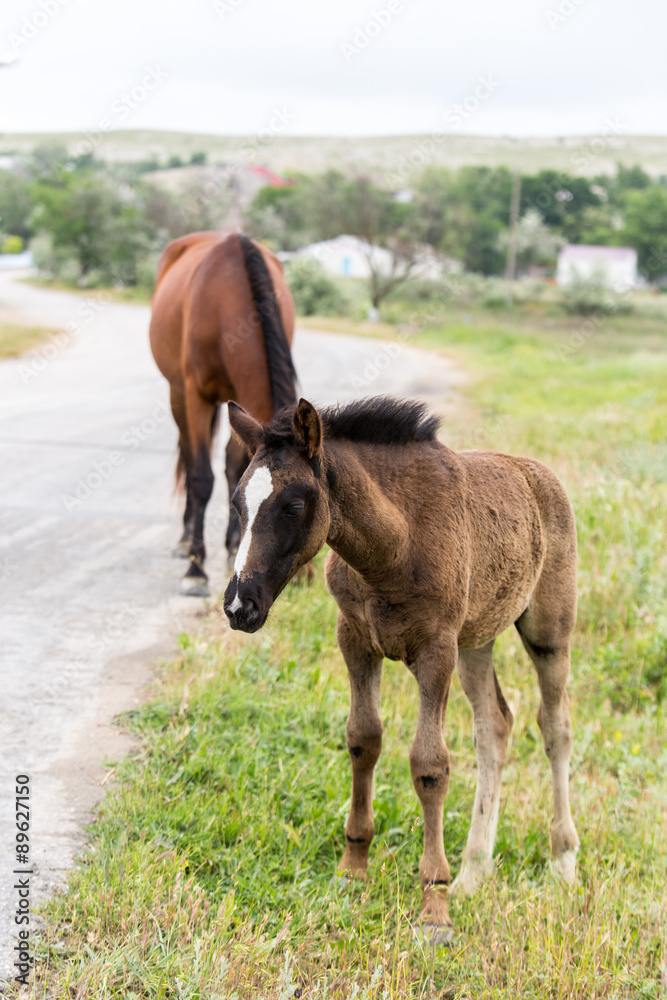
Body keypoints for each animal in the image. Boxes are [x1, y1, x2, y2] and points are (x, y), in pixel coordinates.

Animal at [149, 230, 297, 597]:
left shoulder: (241, 404)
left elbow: (237, 469)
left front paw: (234, 548)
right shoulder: (196, 397)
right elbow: (202, 478)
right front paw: (195, 569)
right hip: (178, 395)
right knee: (189, 458)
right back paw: (186, 540)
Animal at [222, 395, 580, 942]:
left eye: (294, 506)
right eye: (237, 504)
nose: (240, 606)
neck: (392, 547)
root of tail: (541, 474)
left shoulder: (435, 650)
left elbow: (429, 765)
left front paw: (434, 907)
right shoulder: (354, 638)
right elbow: (363, 739)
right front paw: (353, 869)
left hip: (547, 630)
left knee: (554, 725)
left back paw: (561, 859)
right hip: (476, 641)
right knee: (494, 725)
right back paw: (475, 871)